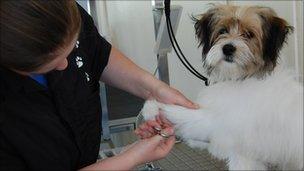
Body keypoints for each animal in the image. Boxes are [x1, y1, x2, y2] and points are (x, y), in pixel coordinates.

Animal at [141, 4, 302, 170]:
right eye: (222, 31)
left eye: (249, 34)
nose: (228, 48)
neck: (241, 78)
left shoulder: (230, 134)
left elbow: (184, 114)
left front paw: (152, 106)